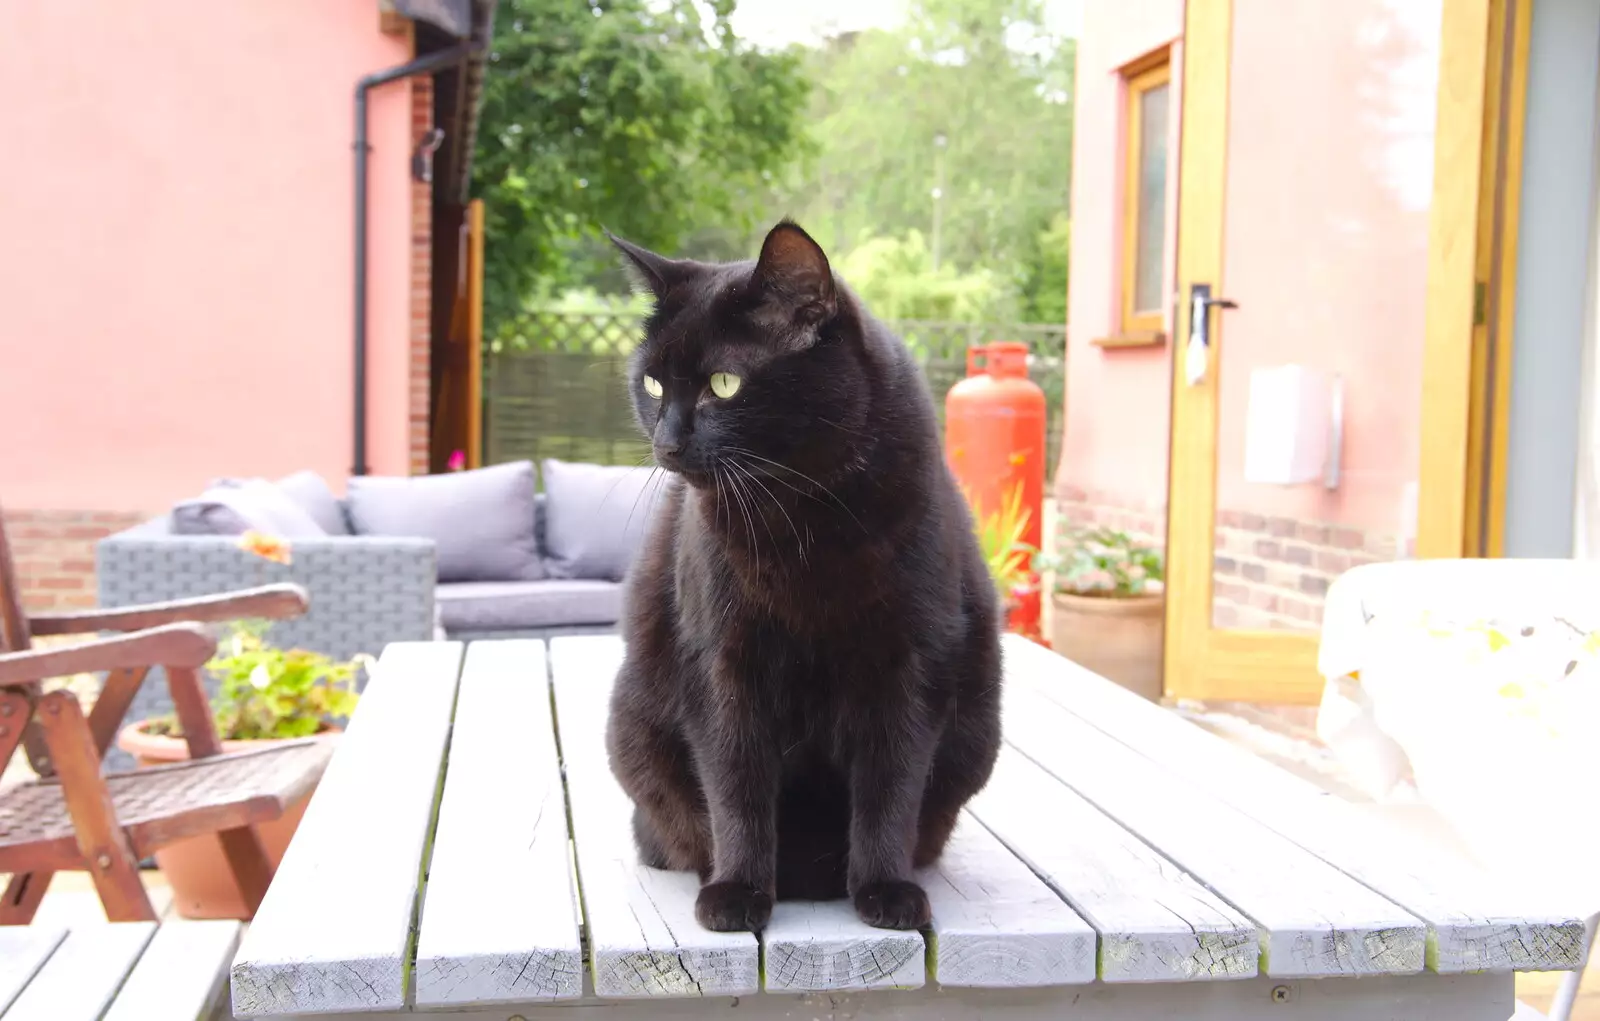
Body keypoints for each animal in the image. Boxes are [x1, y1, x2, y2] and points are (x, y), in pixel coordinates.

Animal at [601, 222, 998, 934]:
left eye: (724, 384)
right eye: (651, 384)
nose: (667, 443)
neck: (803, 521)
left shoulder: (910, 665)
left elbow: (891, 786)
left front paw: (885, 889)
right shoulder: (723, 665)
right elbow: (735, 786)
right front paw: (737, 892)